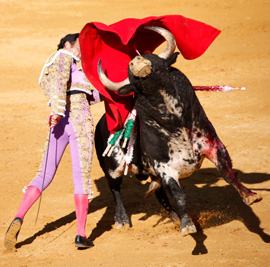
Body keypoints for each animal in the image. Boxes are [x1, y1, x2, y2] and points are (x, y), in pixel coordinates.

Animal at [94, 26, 262, 237]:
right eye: (132, 77)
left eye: (154, 60)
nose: (136, 61)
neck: (174, 120)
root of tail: (101, 123)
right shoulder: (165, 168)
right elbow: (179, 195)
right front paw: (187, 225)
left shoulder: (214, 145)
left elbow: (228, 173)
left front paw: (250, 196)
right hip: (112, 168)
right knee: (115, 190)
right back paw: (122, 220)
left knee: (159, 193)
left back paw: (174, 217)